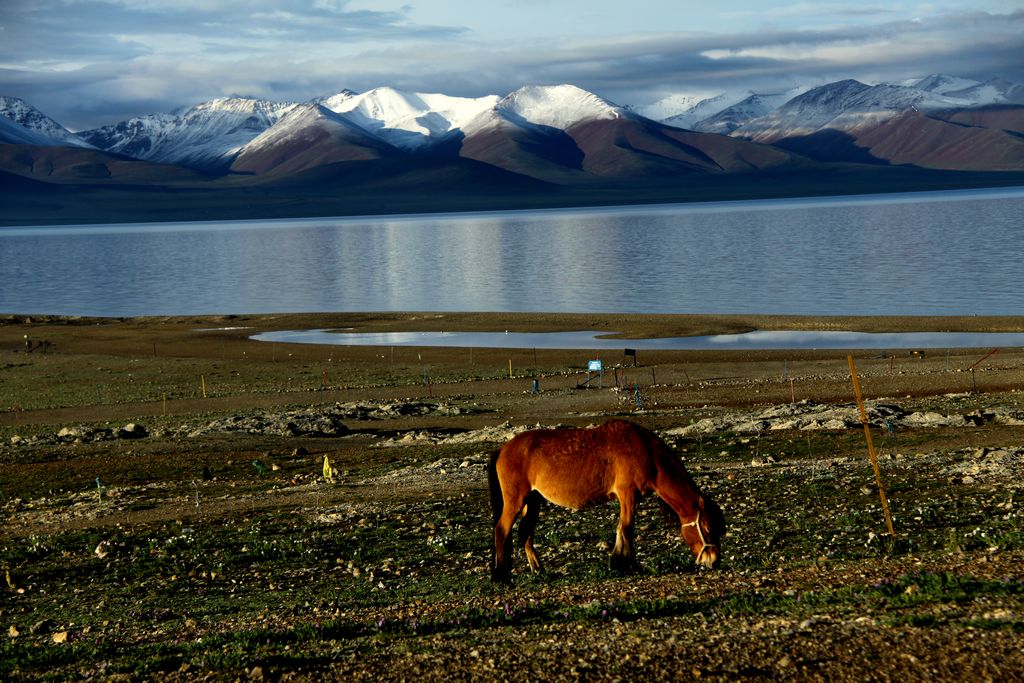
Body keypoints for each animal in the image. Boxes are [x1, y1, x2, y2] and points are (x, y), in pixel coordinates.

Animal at [485, 421, 720, 581]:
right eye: (708, 528)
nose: (714, 561)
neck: (646, 451)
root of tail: (503, 449)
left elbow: (623, 529)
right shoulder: (628, 495)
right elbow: (626, 529)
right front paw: (625, 564)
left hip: (533, 501)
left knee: (525, 533)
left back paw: (538, 569)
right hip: (516, 500)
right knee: (501, 530)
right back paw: (501, 574)